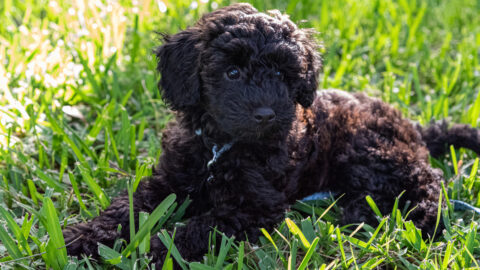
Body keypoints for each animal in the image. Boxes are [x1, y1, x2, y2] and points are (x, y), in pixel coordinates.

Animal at [63, 2, 480, 266]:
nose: (266, 114)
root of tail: (414, 128)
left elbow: (205, 226)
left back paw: (413, 219)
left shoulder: (254, 205)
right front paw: (84, 237)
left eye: (281, 74)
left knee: (428, 182)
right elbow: (128, 206)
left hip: (371, 151)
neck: (220, 147)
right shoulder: (170, 179)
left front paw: (161, 249)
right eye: (232, 73)